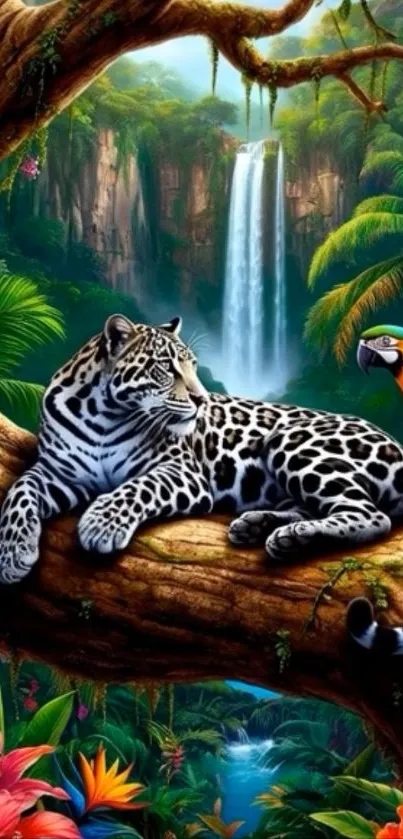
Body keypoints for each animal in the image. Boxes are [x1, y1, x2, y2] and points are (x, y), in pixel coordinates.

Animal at [1, 312, 403, 638]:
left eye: (194, 366)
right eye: (165, 367)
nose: (201, 399)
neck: (102, 413)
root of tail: (394, 442)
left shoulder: (181, 471)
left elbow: (137, 487)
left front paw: (101, 524)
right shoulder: (59, 474)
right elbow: (20, 491)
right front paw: (13, 554)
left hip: (292, 442)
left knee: (370, 515)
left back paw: (295, 535)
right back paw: (263, 528)